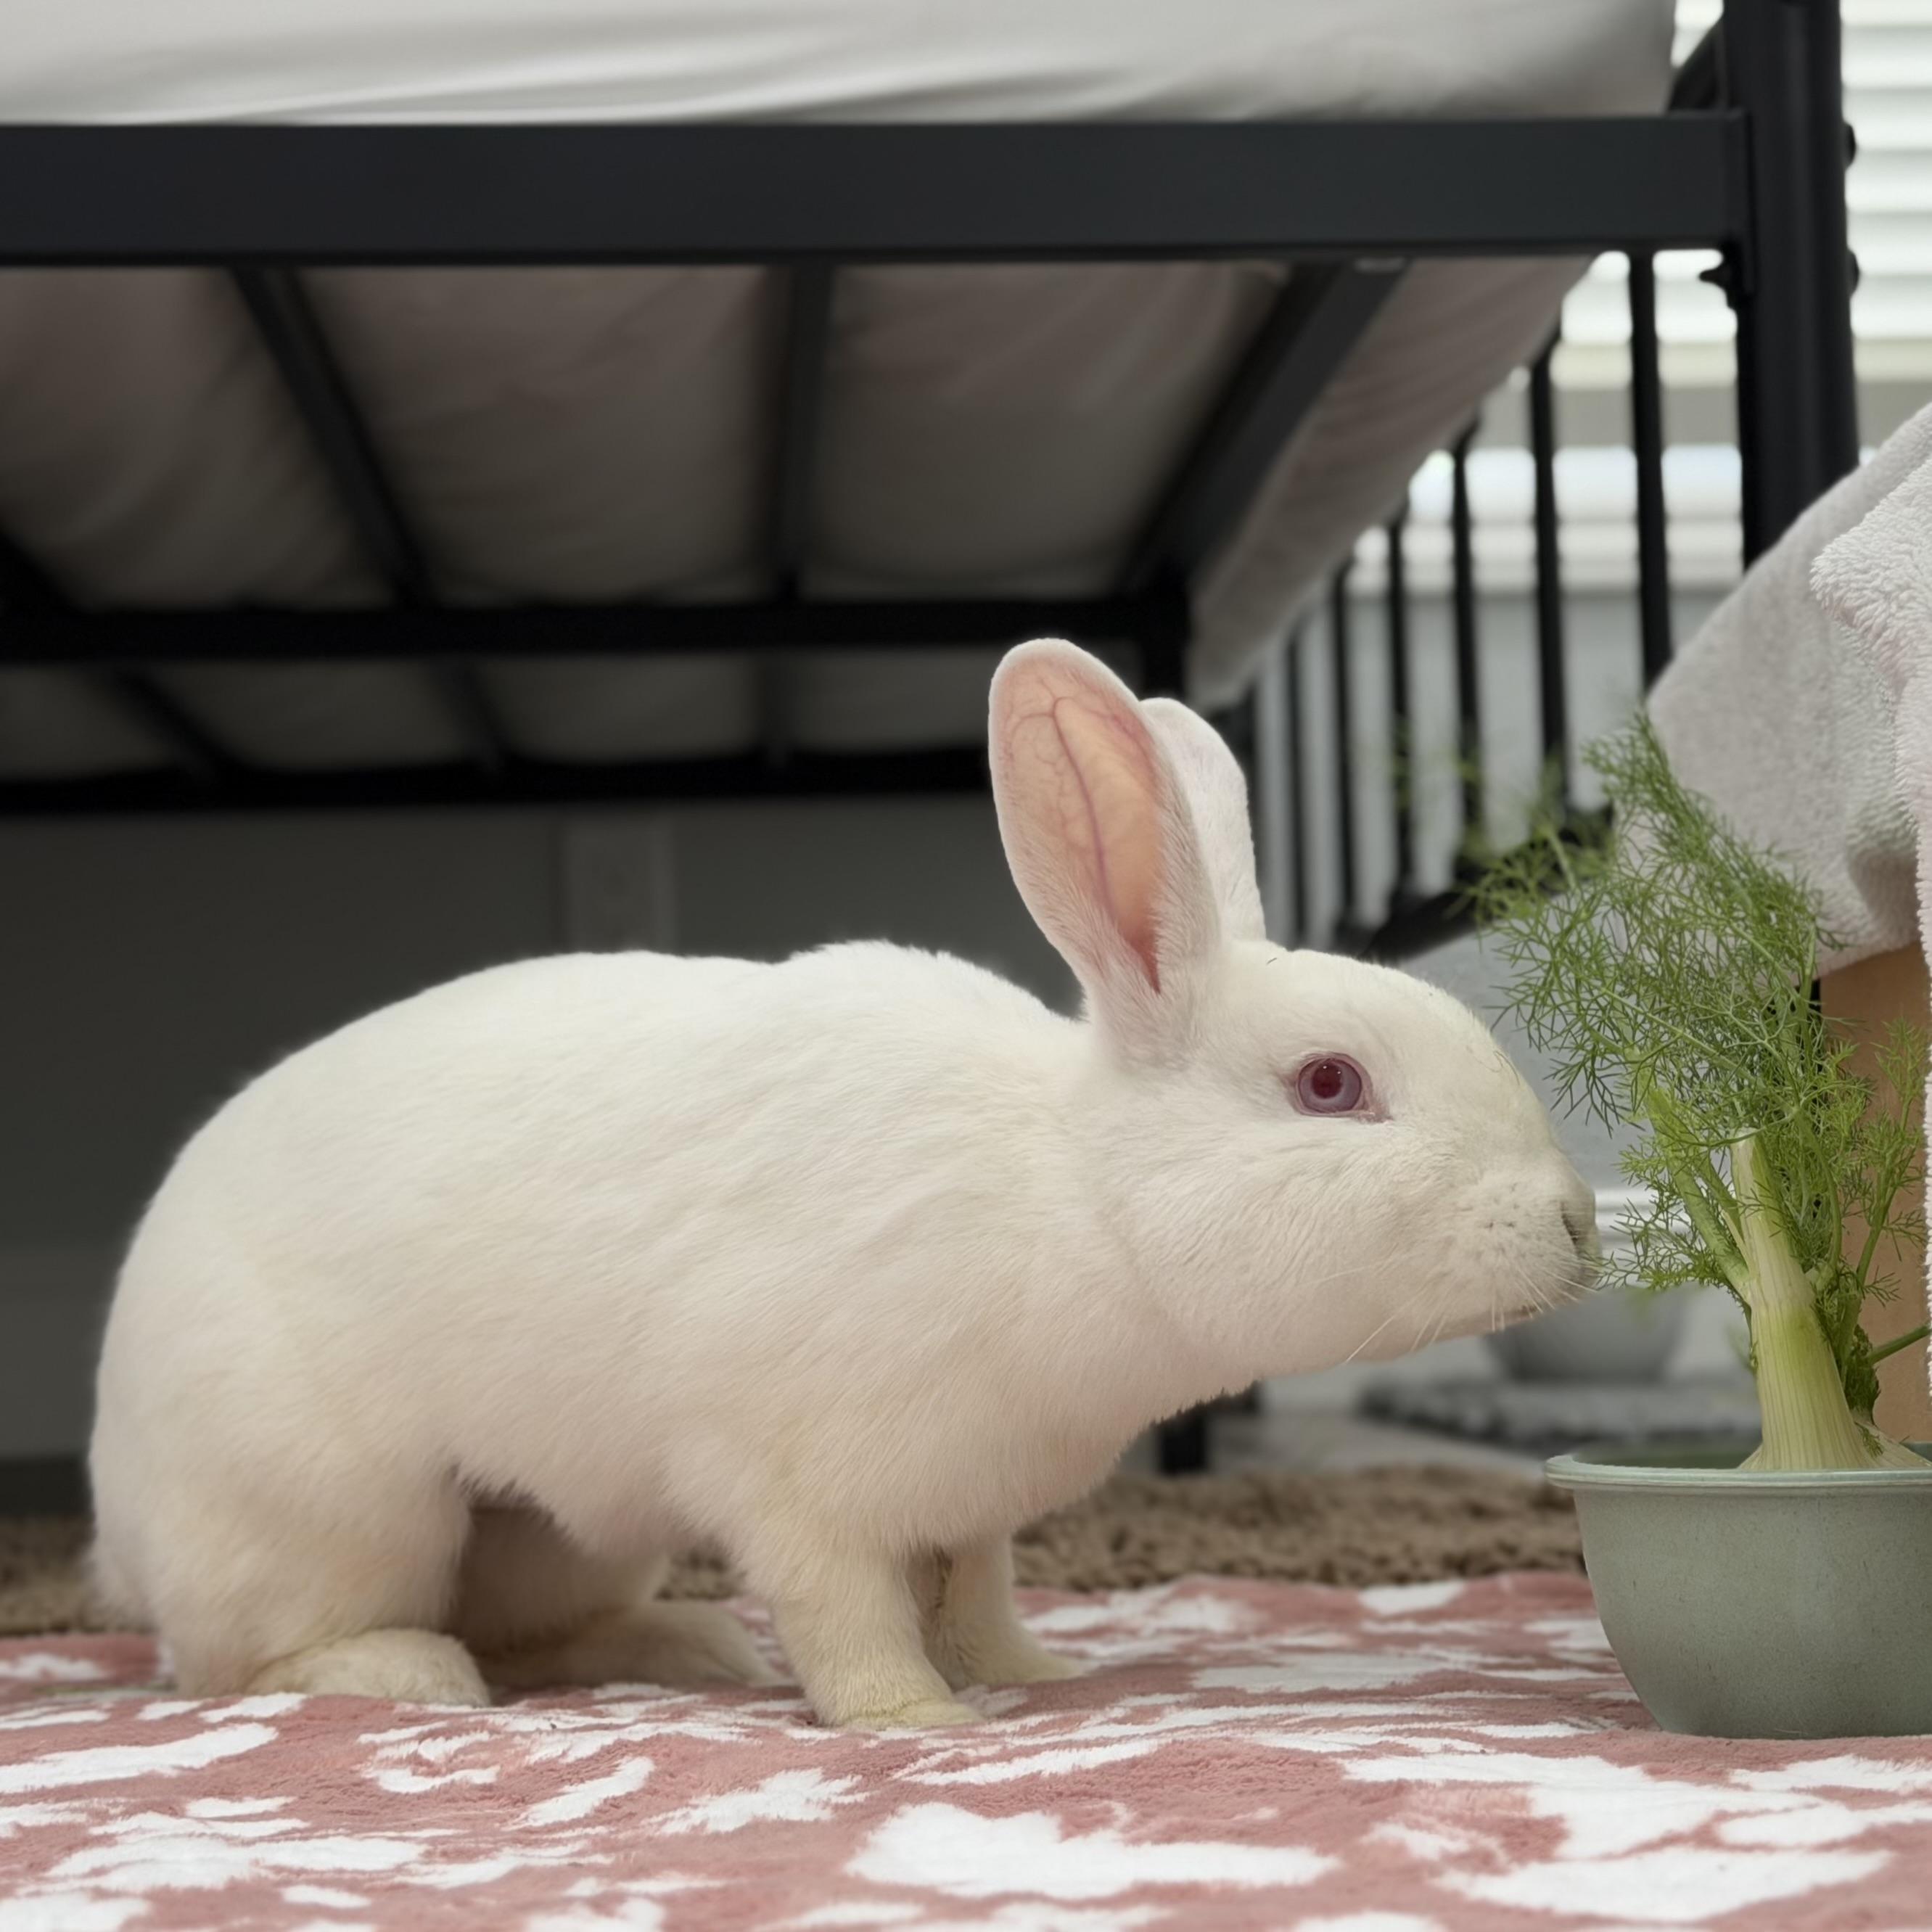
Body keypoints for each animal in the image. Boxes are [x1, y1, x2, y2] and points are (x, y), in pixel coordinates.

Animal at [89, 636, 1596, 1728]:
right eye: (1329, 1084)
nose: (1576, 1224)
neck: (1071, 1191)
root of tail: (115, 1509)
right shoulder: (795, 1479)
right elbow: (845, 1613)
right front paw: (913, 1721)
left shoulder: (971, 1507)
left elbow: (975, 1594)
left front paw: (1033, 1675)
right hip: (342, 1509)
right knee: (242, 1662)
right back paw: (409, 1677)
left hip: (554, 1533)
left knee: (530, 1630)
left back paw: (689, 1644)